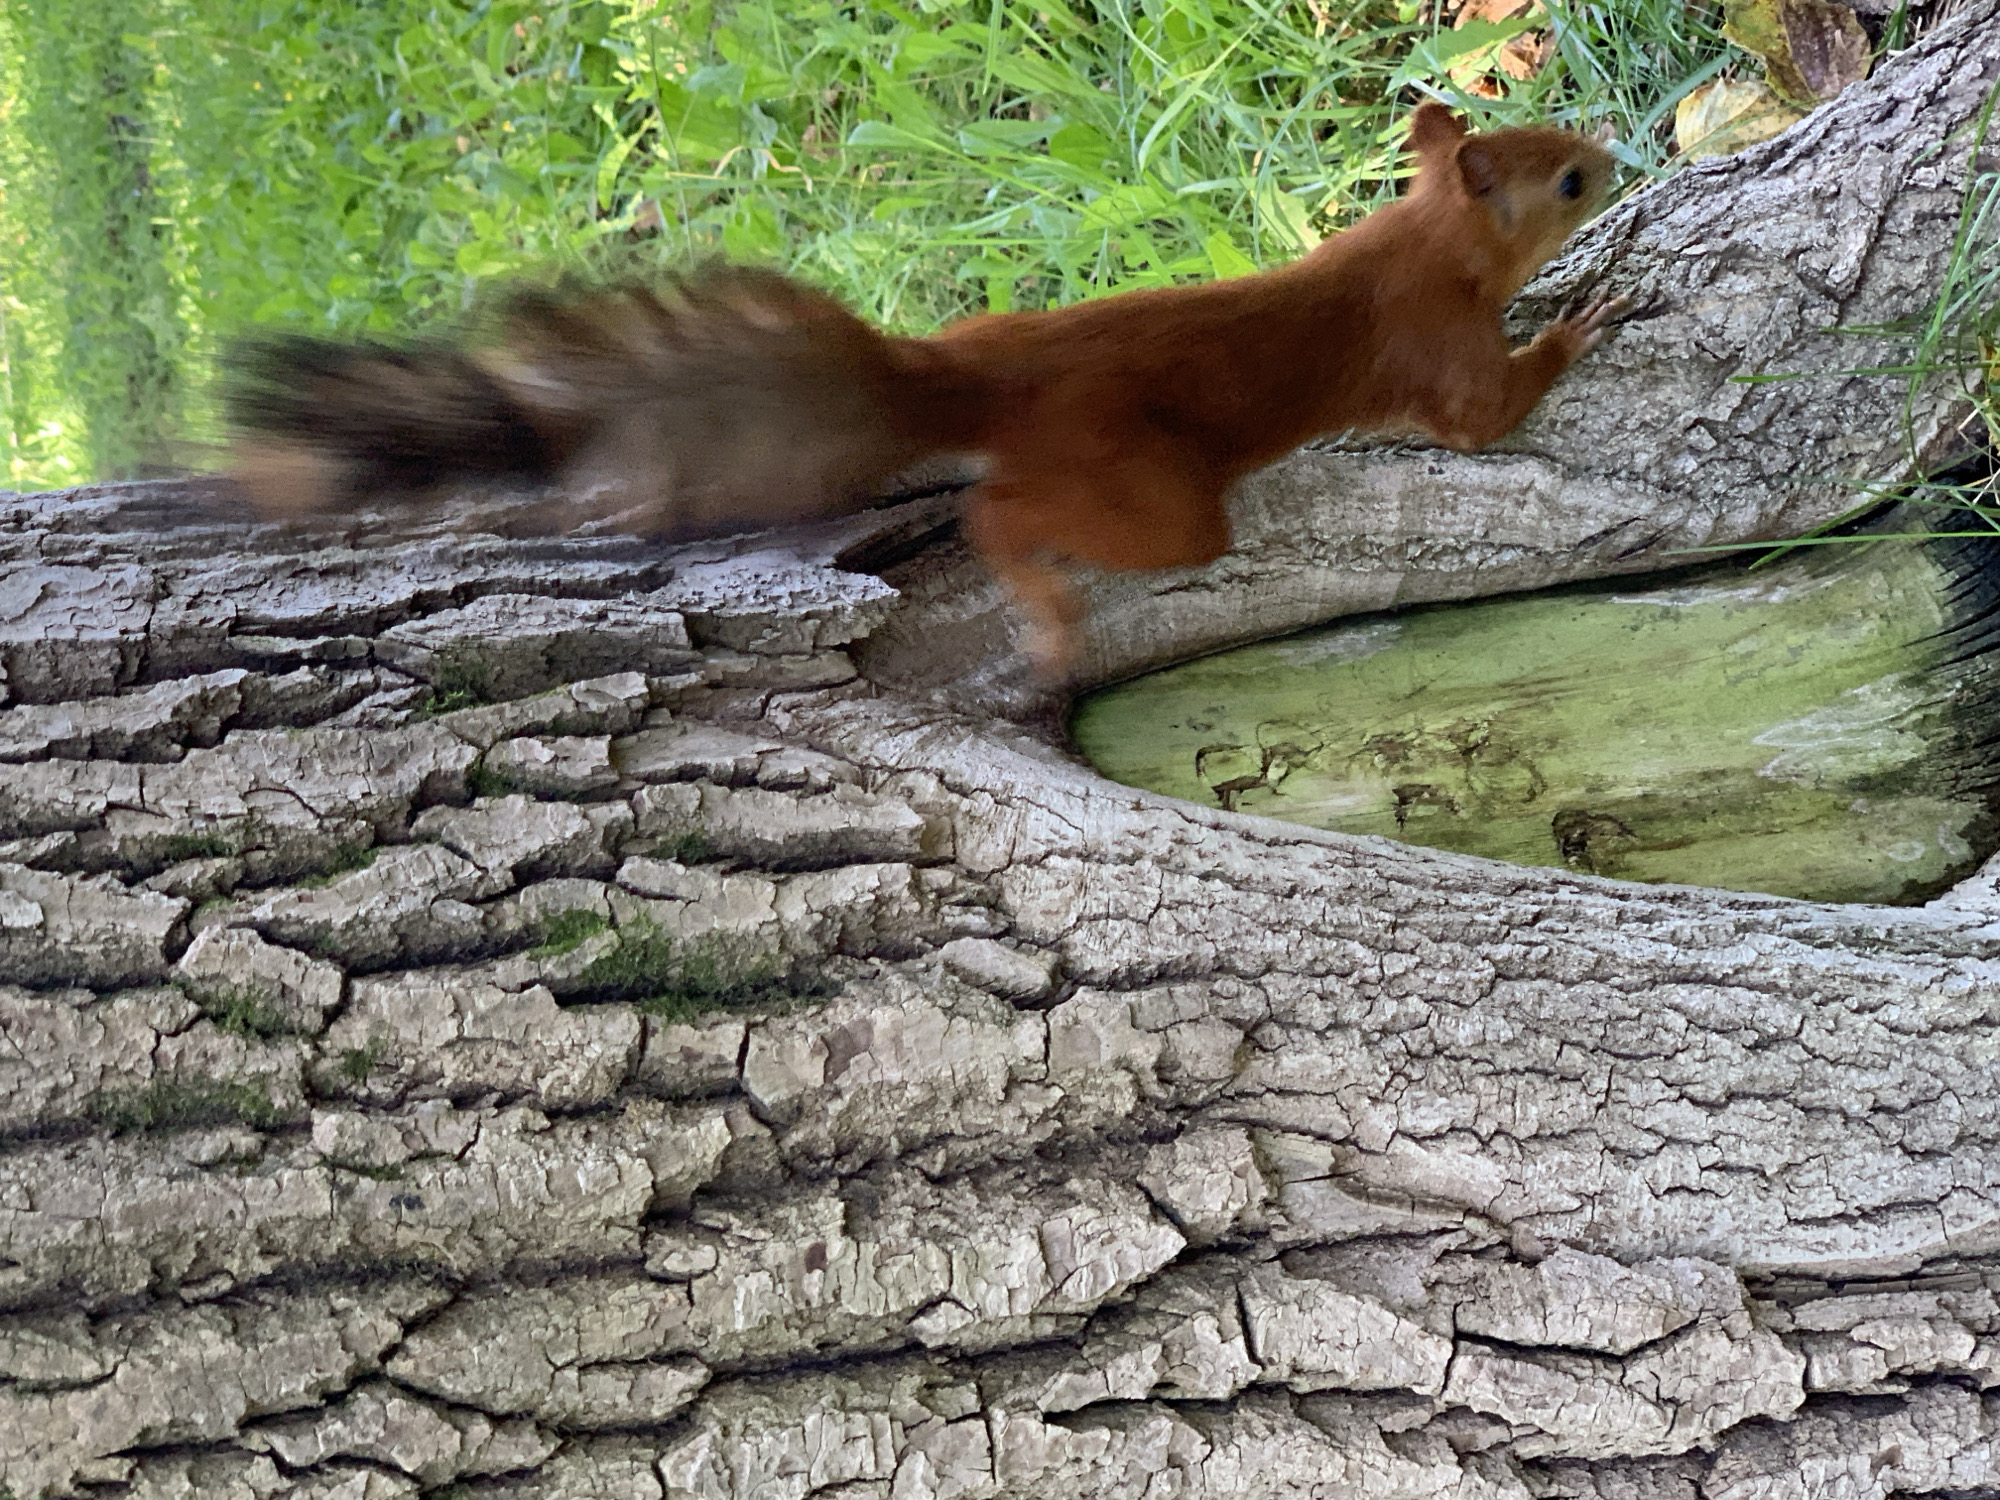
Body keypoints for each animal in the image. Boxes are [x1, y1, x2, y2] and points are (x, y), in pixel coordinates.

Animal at [227, 102, 1627, 674]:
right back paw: (1042, 600)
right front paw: (1587, 318)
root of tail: (971, 386)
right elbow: (1483, 419)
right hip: (1148, 493)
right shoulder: (1437, 353)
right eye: (1563, 180)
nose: (1612, 156)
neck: (1419, 244)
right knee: (1004, 516)